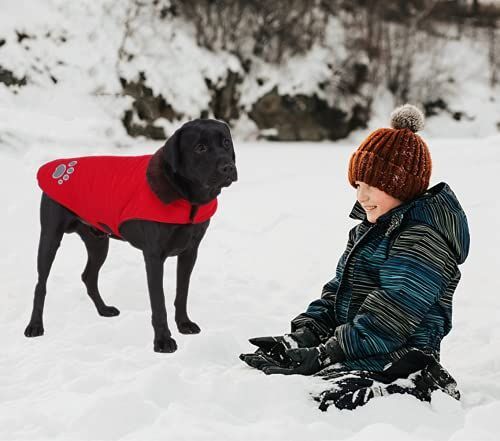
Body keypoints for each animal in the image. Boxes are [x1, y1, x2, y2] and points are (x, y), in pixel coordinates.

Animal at [25, 118, 238, 352]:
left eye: (226, 143)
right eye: (200, 148)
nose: (228, 167)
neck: (187, 198)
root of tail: (56, 165)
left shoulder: (190, 252)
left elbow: (182, 293)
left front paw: (184, 324)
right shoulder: (154, 257)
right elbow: (159, 302)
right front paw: (162, 340)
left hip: (98, 243)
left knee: (88, 276)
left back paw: (104, 309)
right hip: (50, 238)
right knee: (40, 285)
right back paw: (34, 326)